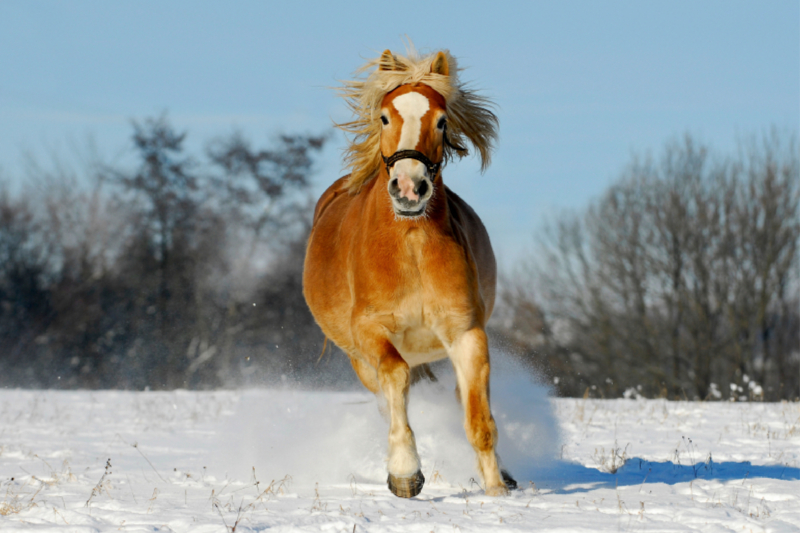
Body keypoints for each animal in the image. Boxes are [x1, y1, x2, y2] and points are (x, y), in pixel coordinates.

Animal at [304, 47, 516, 496]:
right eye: (385, 117)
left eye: (441, 120)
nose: (409, 187)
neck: (412, 245)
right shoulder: (371, 332)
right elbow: (396, 380)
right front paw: (404, 472)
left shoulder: (466, 334)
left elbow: (479, 420)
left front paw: (497, 492)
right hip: (359, 361)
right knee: (388, 398)